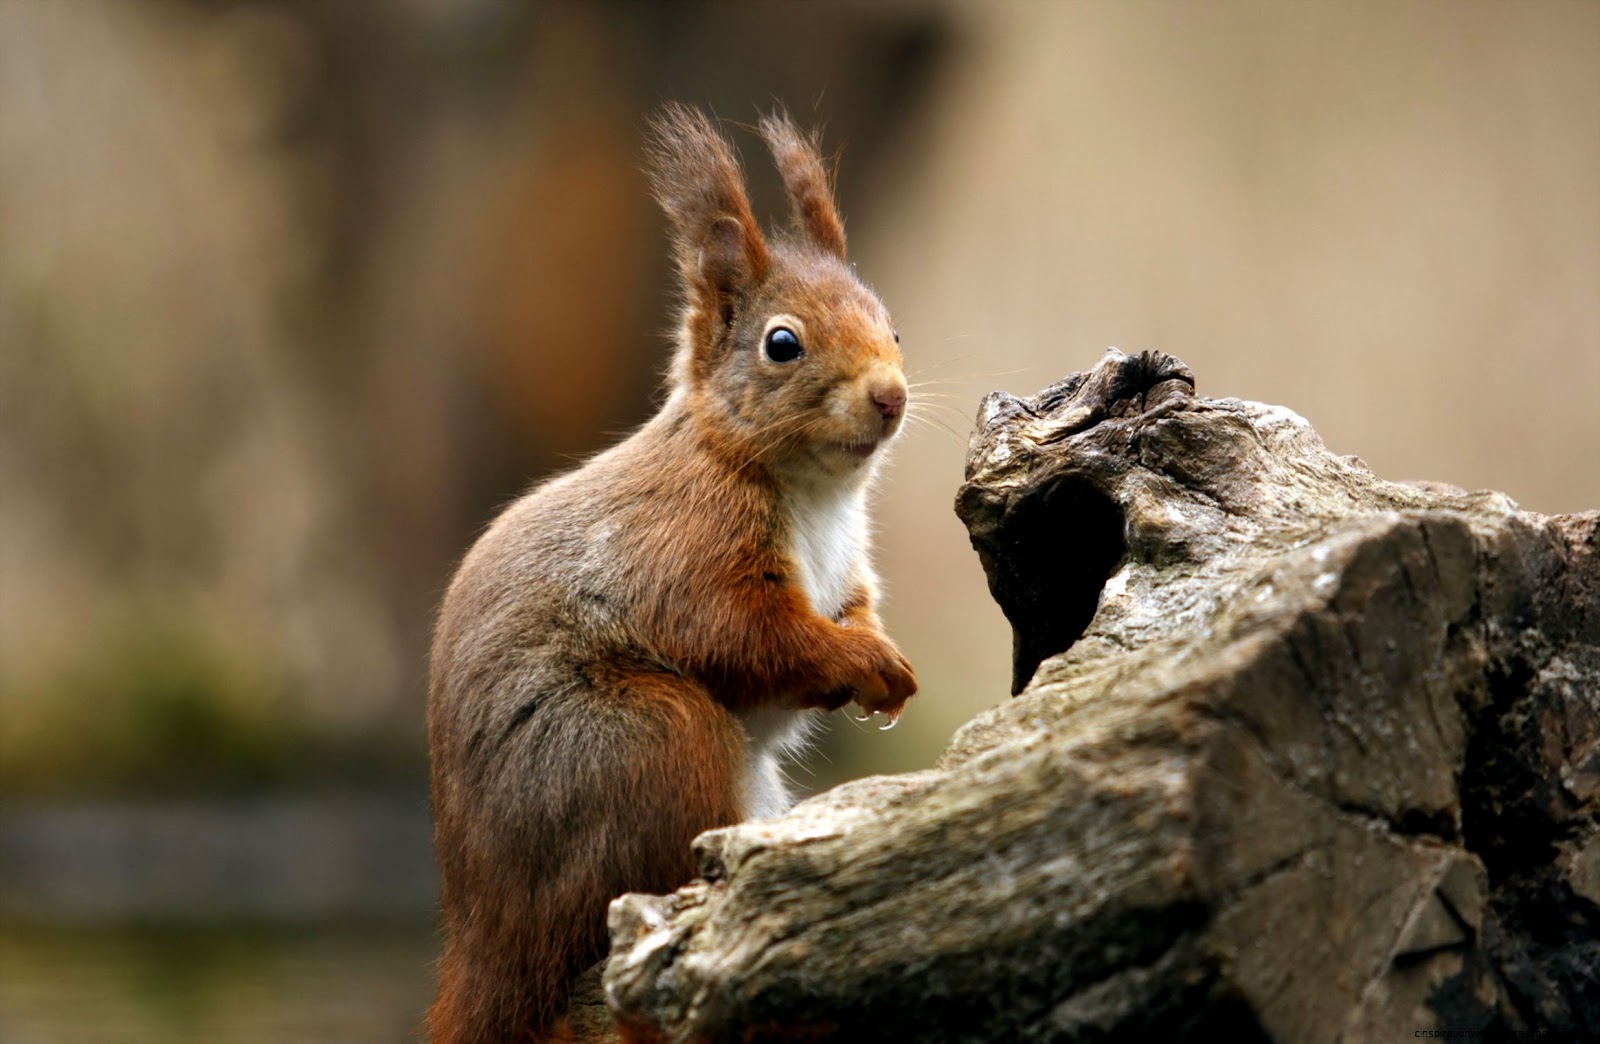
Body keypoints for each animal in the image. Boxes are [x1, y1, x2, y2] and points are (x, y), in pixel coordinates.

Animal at [425, 104, 917, 1043]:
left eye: (895, 326)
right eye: (782, 344)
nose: (891, 396)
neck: (813, 492)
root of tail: (488, 941)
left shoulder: (849, 568)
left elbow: (854, 608)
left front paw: (889, 664)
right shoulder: (683, 547)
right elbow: (746, 637)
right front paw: (862, 662)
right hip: (645, 742)